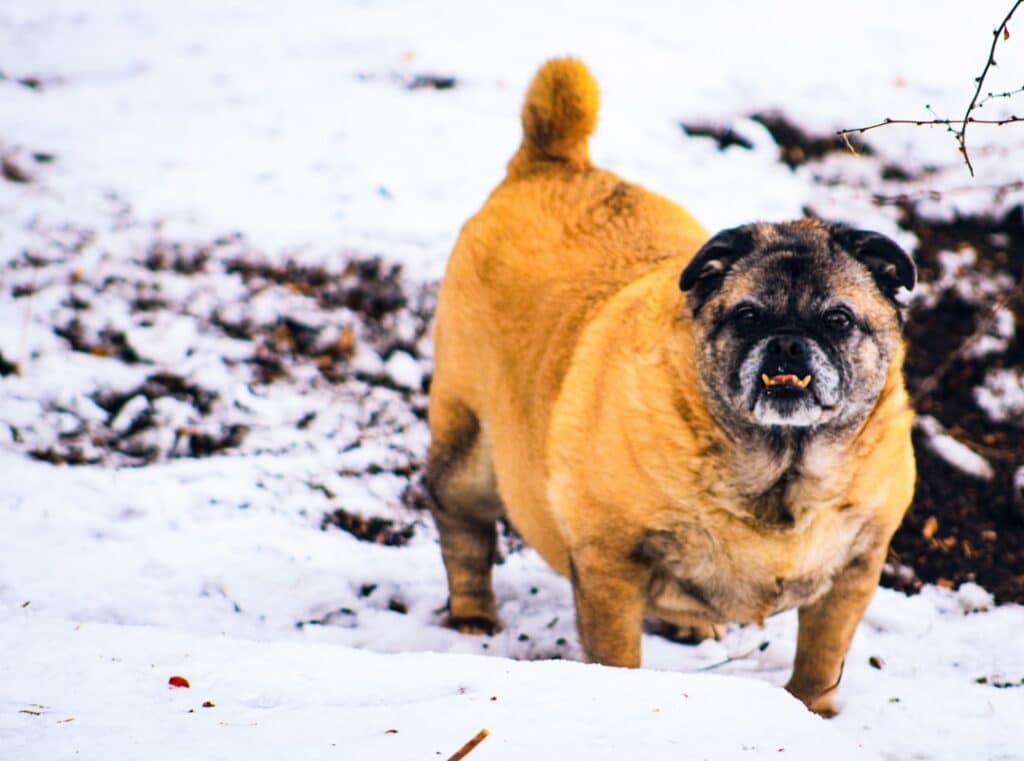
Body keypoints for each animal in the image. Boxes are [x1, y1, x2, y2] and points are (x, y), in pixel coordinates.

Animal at [425, 58, 921, 712]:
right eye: (747, 317)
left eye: (838, 320)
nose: (788, 342)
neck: (779, 469)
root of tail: (554, 159)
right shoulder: (609, 564)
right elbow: (617, 653)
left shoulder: (855, 570)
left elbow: (822, 657)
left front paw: (810, 710)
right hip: (469, 454)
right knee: (464, 534)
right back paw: (473, 617)